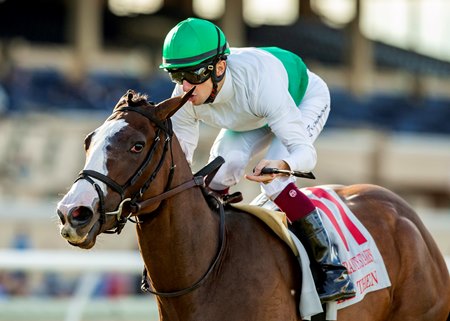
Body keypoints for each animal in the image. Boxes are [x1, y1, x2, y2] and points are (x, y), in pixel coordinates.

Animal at [57, 88, 450, 320]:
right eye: (89, 141)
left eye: (137, 145)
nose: (72, 212)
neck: (208, 269)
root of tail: (402, 208)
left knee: (279, 179)